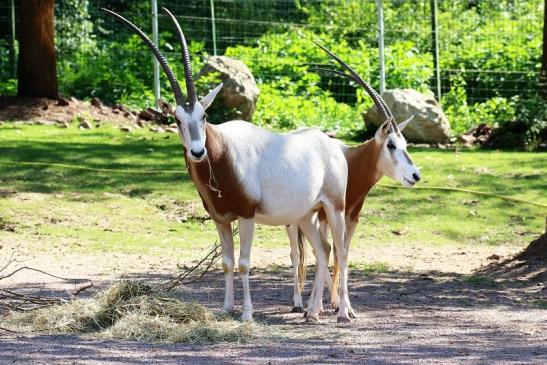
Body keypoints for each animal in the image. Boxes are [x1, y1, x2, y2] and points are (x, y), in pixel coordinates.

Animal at [105, 8, 348, 322]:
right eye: (177, 119)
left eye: (204, 116)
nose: (197, 152)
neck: (224, 155)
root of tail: (332, 145)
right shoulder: (221, 220)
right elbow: (227, 263)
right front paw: (225, 308)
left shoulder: (246, 216)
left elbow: (244, 262)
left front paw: (246, 313)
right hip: (306, 214)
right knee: (323, 250)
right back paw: (313, 312)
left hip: (335, 208)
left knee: (340, 250)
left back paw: (343, 312)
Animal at [286, 42, 424, 320]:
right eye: (391, 144)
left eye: (405, 144)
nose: (416, 175)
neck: (351, 161)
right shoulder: (328, 215)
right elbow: (330, 254)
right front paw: (329, 307)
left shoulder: (350, 218)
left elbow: (343, 255)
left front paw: (344, 306)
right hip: (295, 219)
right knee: (297, 253)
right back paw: (299, 303)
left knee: (322, 251)